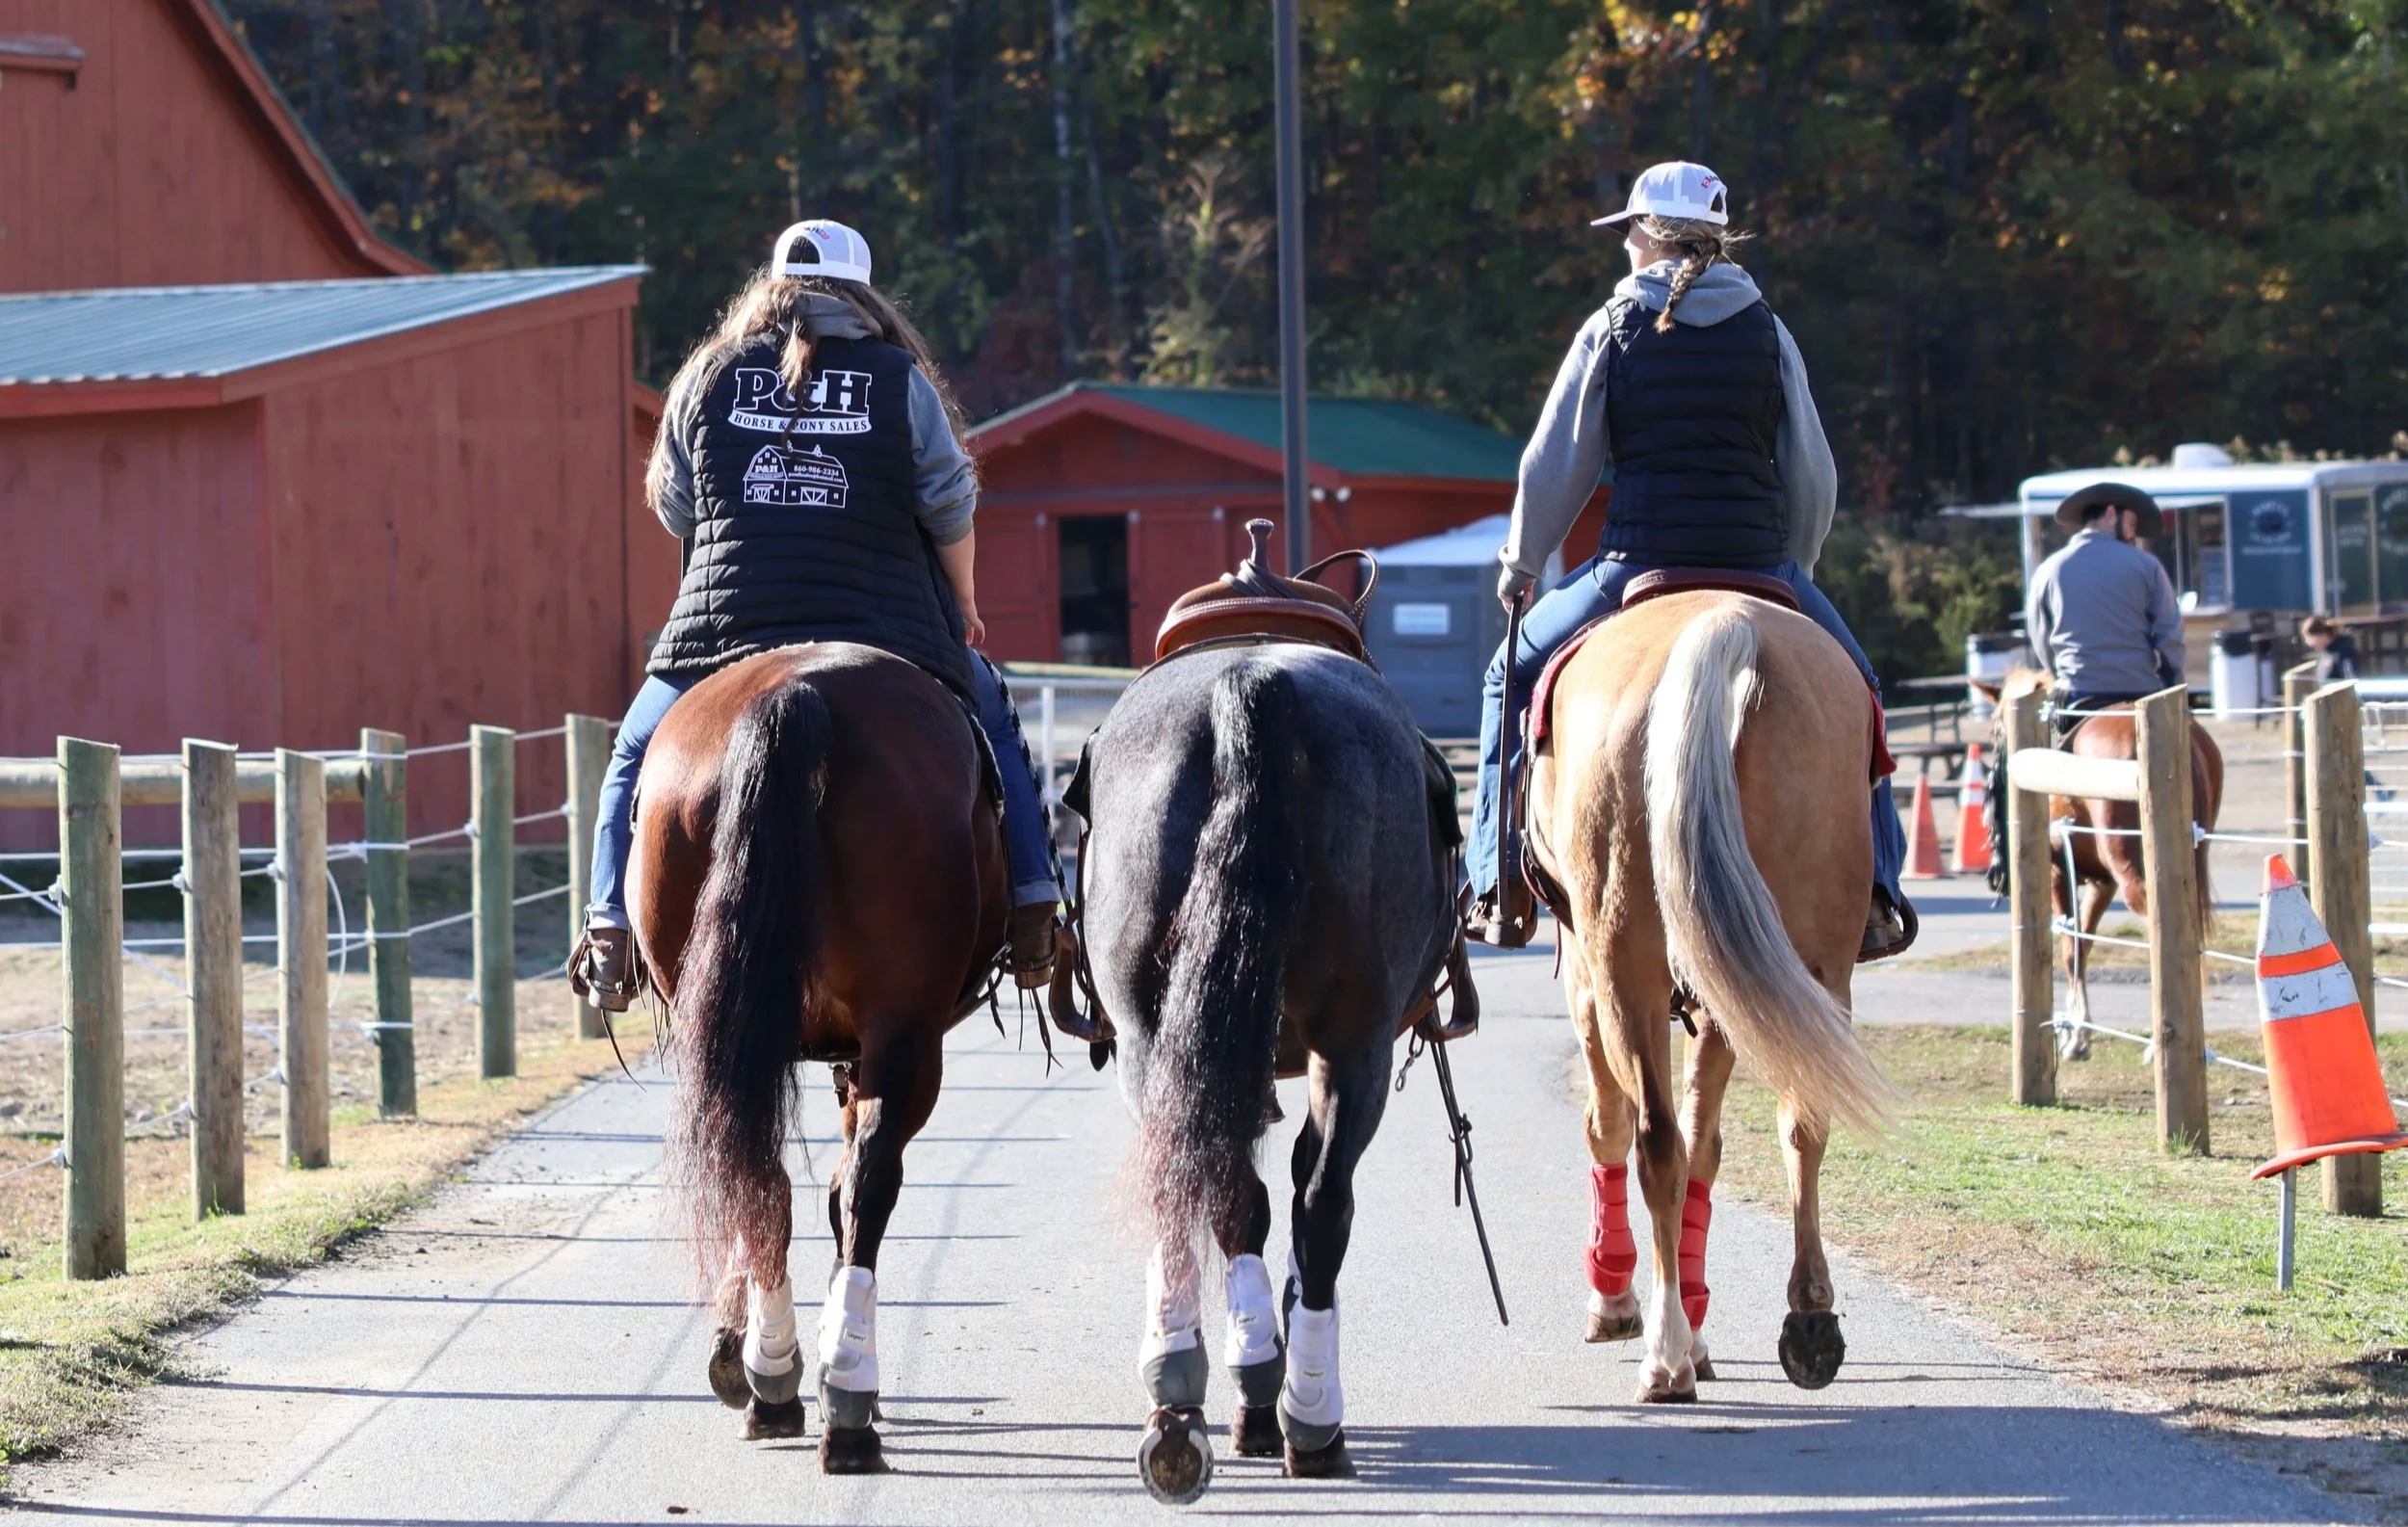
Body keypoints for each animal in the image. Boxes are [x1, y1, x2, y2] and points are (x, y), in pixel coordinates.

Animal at [636, 642, 1012, 1473]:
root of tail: (795, 691)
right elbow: (847, 1189)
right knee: (867, 1180)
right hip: (907, 1037)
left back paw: (775, 1380)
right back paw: (843, 1399)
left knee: (759, 1177)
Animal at [1060, 636, 1463, 1501]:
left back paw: (1192, 1394)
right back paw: (1304, 1414)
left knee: (1213, 1183)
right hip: (1353, 1042)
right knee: (1318, 1201)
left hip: (1159, 1038)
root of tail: (1251, 689)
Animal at [1525, 587, 1893, 1403]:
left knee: (1655, 1140)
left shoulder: (1588, 978)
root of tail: (1727, 624)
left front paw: (1618, 1300)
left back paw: (1664, 1351)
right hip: (1806, 965)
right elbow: (1709, 1142)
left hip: (1623, 963)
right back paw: (1808, 1320)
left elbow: (1610, 1124)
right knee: (1799, 1123)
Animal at [1977, 669, 2221, 1060]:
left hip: (2132, 876)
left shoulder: (2058, 874)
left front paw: (2077, 1035)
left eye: (1994, 731)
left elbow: (2070, 948)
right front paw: (2079, 1031)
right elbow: (2083, 943)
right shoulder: (2101, 883)